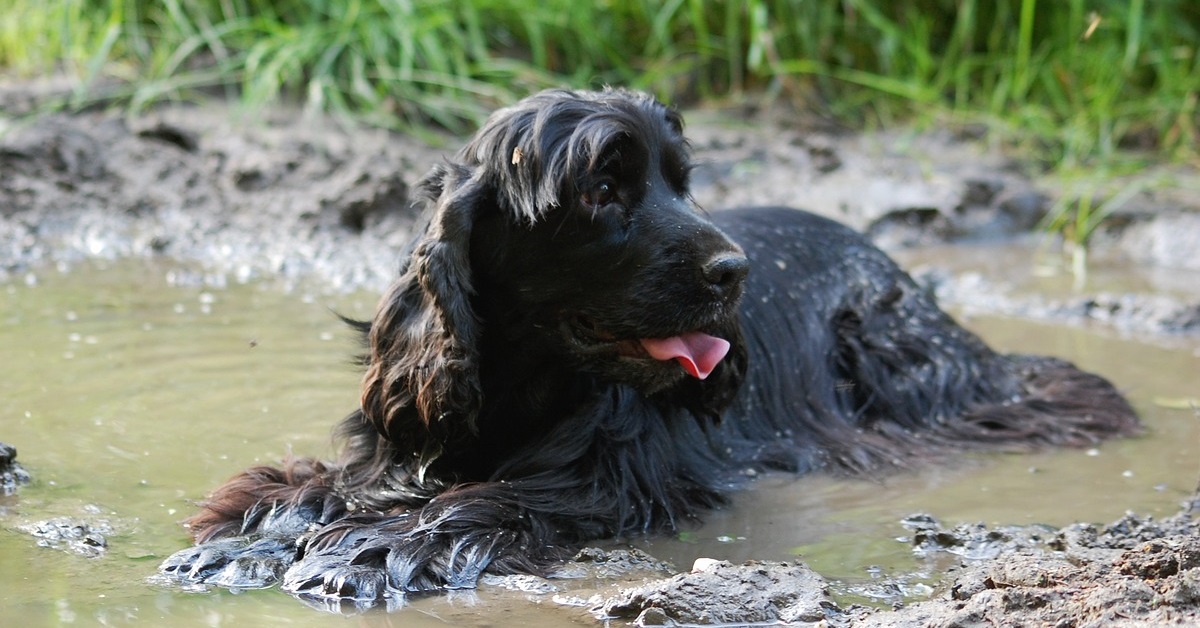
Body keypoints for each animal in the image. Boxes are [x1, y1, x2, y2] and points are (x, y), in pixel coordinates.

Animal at [157, 87, 1132, 605]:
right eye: (602, 188)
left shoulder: (609, 479)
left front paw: (367, 552)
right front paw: (246, 539)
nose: (736, 271)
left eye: (683, 182)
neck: (526, 384)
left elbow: (487, 502)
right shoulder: (409, 437)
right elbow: (320, 487)